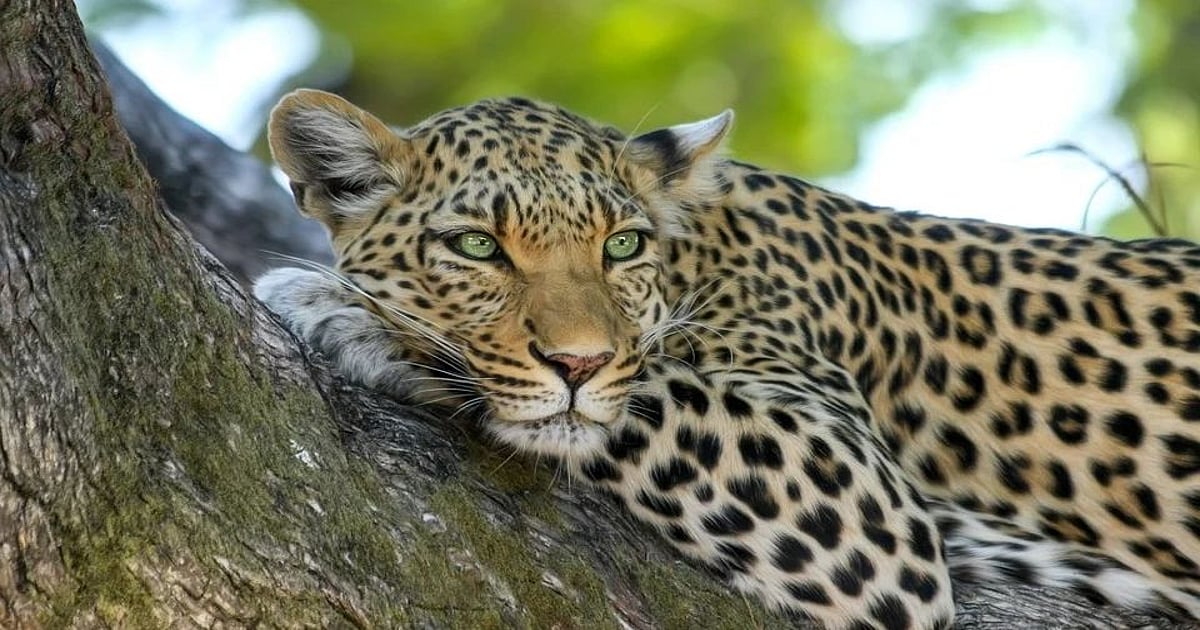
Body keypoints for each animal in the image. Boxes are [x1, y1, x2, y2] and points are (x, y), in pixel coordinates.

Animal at [253, 88, 1200, 629]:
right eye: (478, 247)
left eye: (622, 245)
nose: (578, 364)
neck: (699, 253)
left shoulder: (863, 500)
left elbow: (651, 392)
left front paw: (349, 312)